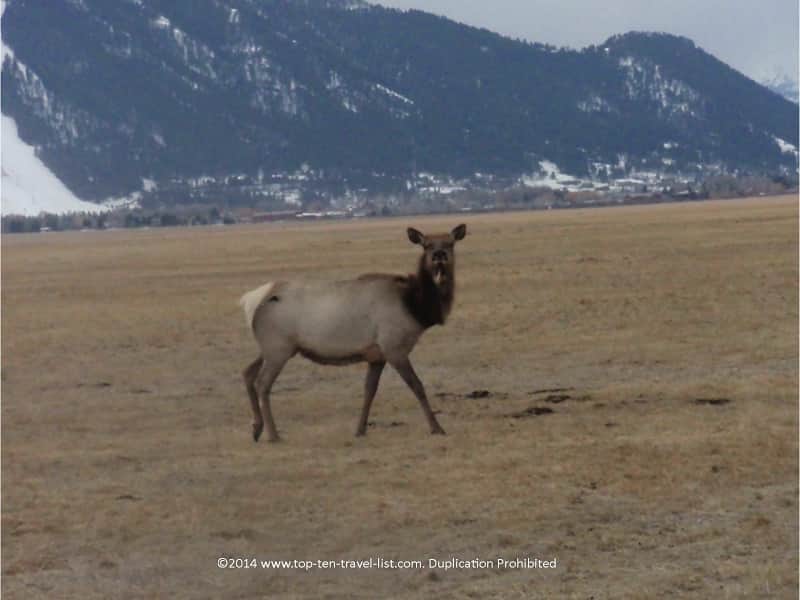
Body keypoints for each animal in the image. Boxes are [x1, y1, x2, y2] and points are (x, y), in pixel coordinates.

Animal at [239, 224, 467, 442]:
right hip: (278, 348)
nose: (439, 255)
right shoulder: (394, 348)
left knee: (248, 372)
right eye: (426, 245)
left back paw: (256, 427)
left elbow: (369, 391)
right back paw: (273, 434)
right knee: (262, 383)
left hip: (273, 348)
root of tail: (251, 301)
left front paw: (360, 429)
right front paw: (437, 428)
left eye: (450, 243)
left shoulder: (377, 355)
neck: (416, 308)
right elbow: (417, 386)